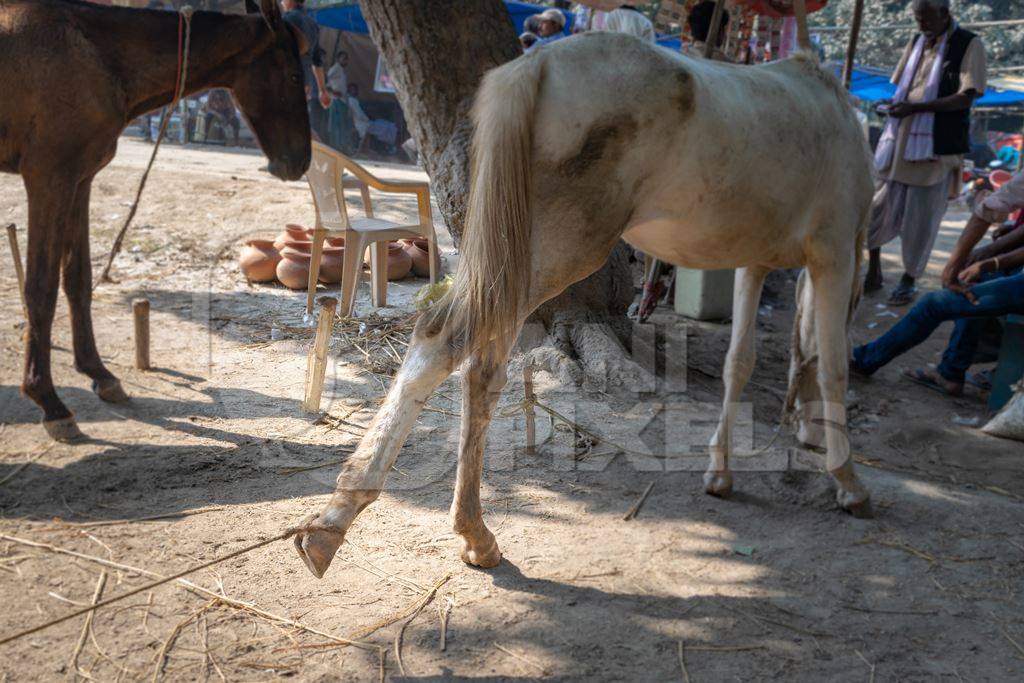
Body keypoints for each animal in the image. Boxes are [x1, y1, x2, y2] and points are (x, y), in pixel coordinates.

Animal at [1, 0, 311, 440]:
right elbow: (40, 290)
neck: (93, 53)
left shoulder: (79, 180)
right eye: (294, 74)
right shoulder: (48, 179)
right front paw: (47, 398)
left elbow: (77, 279)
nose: (300, 161)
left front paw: (98, 372)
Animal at [290, 31, 872, 577]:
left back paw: (471, 534)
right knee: (445, 341)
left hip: (515, 258)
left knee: (481, 369)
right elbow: (833, 366)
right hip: (555, 253)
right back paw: (339, 523)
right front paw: (847, 480)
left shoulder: (755, 263)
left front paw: (722, 471)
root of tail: (536, 63)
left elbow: (741, 362)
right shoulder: (835, 255)